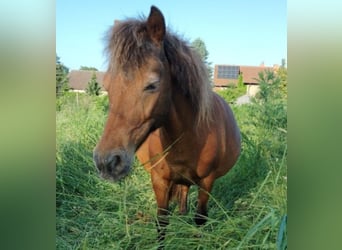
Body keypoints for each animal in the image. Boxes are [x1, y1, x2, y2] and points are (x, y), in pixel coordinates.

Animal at [94, 5, 240, 243]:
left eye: (152, 84)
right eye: (107, 85)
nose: (107, 162)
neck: (191, 136)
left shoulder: (207, 182)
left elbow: (200, 219)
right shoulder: (160, 181)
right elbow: (162, 223)